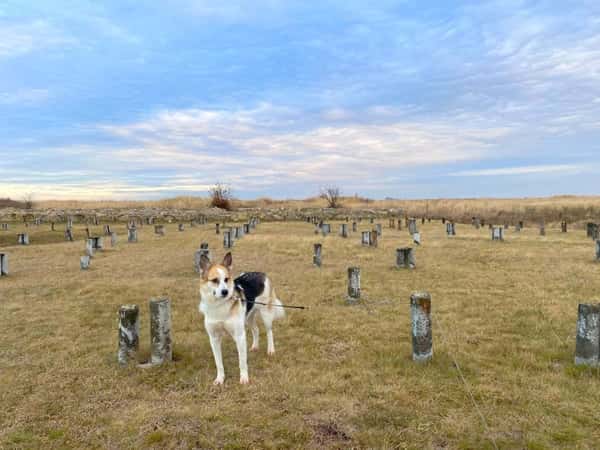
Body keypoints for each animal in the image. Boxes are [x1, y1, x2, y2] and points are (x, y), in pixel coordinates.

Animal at [199, 251, 286, 384]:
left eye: (226, 279)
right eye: (214, 280)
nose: (225, 292)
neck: (220, 306)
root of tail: (261, 274)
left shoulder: (239, 336)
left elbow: (242, 361)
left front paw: (244, 378)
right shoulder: (214, 338)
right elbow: (219, 363)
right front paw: (220, 379)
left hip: (265, 314)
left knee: (269, 332)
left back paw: (271, 350)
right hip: (248, 317)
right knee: (256, 330)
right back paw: (255, 347)